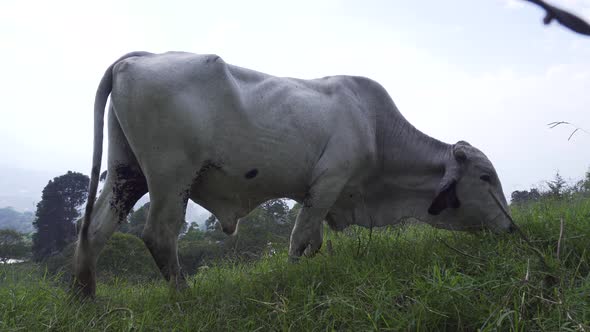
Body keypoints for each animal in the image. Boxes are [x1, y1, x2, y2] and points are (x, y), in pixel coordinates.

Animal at [73, 51, 512, 296]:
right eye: (485, 177)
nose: (511, 227)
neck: (375, 127)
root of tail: (135, 59)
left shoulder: (314, 194)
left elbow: (312, 241)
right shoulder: (329, 182)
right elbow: (299, 240)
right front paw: (290, 280)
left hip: (127, 174)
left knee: (94, 230)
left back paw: (85, 299)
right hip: (172, 175)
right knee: (159, 234)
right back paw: (185, 298)